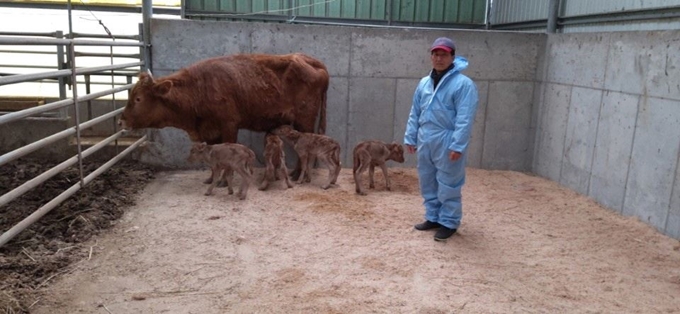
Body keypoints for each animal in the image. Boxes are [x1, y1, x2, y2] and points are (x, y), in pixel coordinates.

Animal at [121, 53, 330, 182]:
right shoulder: (210, 132)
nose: (121, 120)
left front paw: (223, 181)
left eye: (138, 98)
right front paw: (211, 179)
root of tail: (309, 60)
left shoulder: (229, 125)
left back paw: (299, 175)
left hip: (305, 121)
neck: (199, 88)